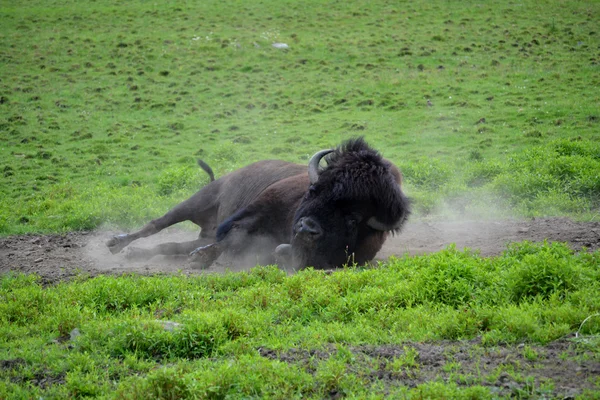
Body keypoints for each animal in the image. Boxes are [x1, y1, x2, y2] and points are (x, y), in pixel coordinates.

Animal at [106, 136, 408, 270]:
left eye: (353, 218)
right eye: (313, 190)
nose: (306, 228)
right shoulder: (254, 213)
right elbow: (234, 238)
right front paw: (200, 258)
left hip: (202, 227)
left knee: (172, 245)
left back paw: (138, 254)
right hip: (197, 200)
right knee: (157, 224)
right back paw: (116, 244)